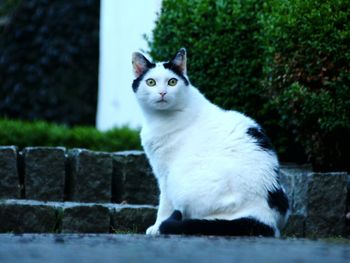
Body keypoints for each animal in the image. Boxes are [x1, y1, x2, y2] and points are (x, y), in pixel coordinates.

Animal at [130, 48, 288, 238]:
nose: (162, 93)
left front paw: (157, 226)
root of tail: (263, 216)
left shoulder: (165, 173)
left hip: (184, 181)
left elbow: (164, 203)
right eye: (151, 82)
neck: (158, 119)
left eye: (172, 82)